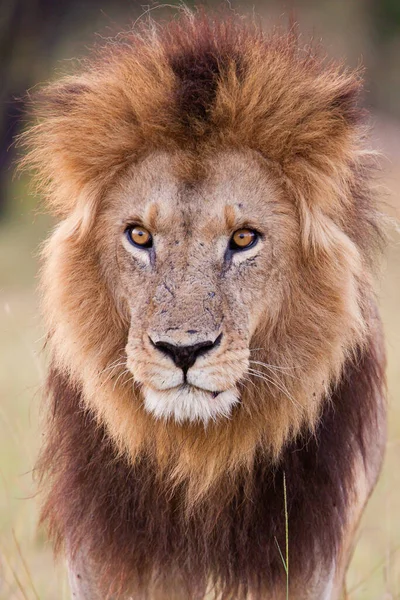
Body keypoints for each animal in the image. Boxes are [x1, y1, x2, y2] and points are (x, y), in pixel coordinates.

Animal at [20, 9, 386, 600]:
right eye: (139, 235)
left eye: (243, 239)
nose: (183, 351)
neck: (199, 456)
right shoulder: (105, 558)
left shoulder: (309, 557)